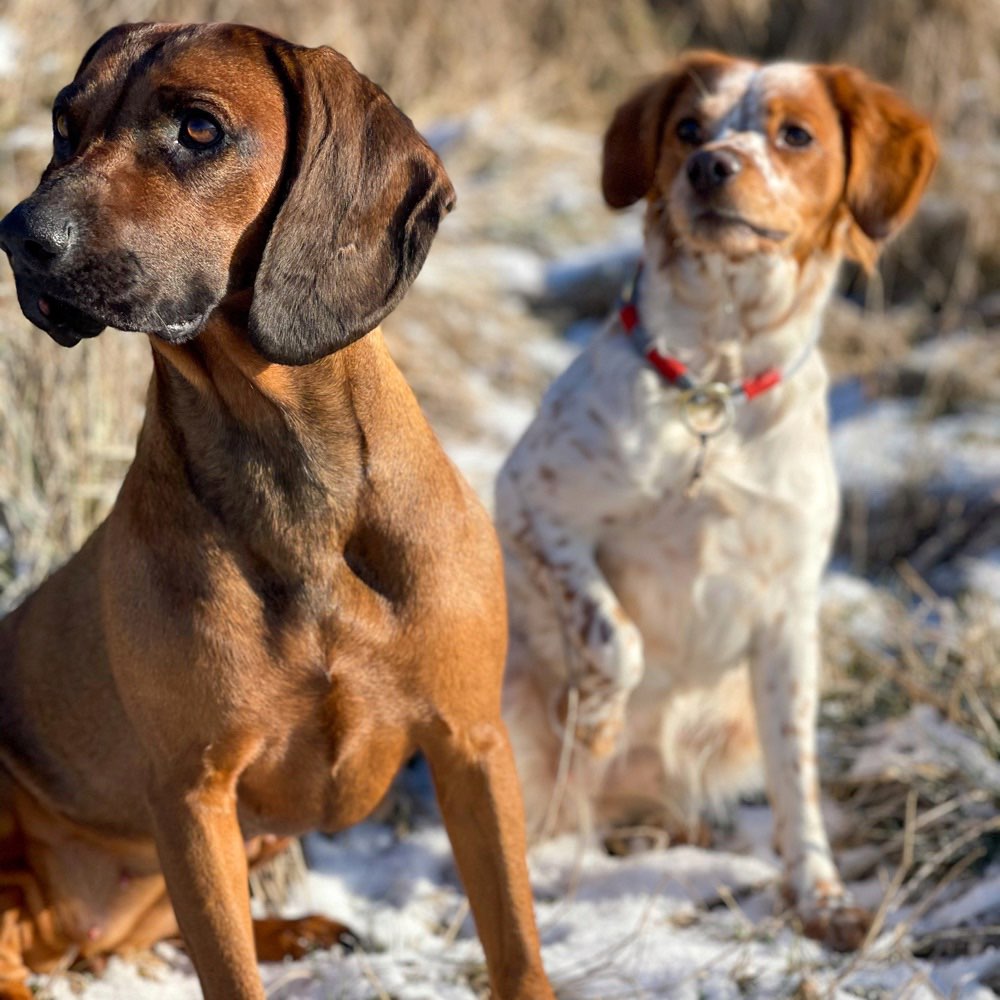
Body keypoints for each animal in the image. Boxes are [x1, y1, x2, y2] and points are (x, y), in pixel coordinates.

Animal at [0, 17, 552, 1000]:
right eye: (66, 124)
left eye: (199, 128)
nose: (19, 236)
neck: (288, 474)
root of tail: (68, 928)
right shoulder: (193, 793)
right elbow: (228, 970)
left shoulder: (474, 745)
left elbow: (517, 946)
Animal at [500, 50, 936, 948]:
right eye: (687, 128)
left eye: (795, 134)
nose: (709, 166)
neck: (717, 383)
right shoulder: (530, 502)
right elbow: (615, 636)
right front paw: (599, 717)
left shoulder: (788, 611)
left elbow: (796, 773)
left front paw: (820, 896)